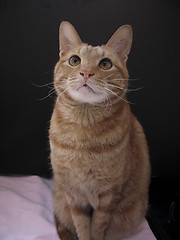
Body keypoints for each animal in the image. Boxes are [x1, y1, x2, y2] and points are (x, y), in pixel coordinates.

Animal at [48, 21, 150, 240]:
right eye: (75, 60)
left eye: (105, 64)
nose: (86, 72)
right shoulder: (74, 195)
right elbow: (82, 227)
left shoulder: (109, 196)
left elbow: (97, 228)